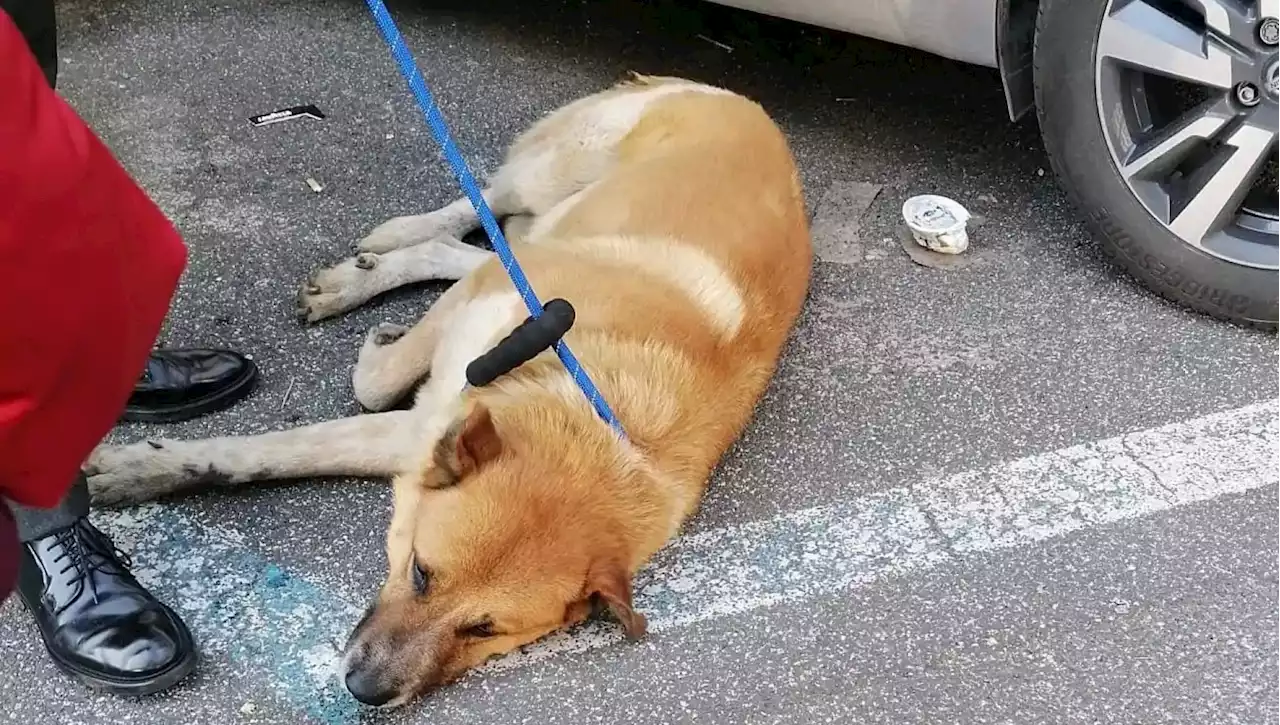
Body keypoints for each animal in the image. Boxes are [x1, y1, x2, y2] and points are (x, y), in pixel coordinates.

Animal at [85, 75, 814, 712]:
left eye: (483, 629)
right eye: (419, 573)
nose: (365, 691)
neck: (593, 417)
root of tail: (744, 102)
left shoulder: (425, 428)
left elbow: (296, 439)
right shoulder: (460, 352)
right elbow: (361, 392)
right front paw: (139, 466)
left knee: (472, 244)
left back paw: (372, 268)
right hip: (555, 174)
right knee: (481, 199)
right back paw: (390, 241)